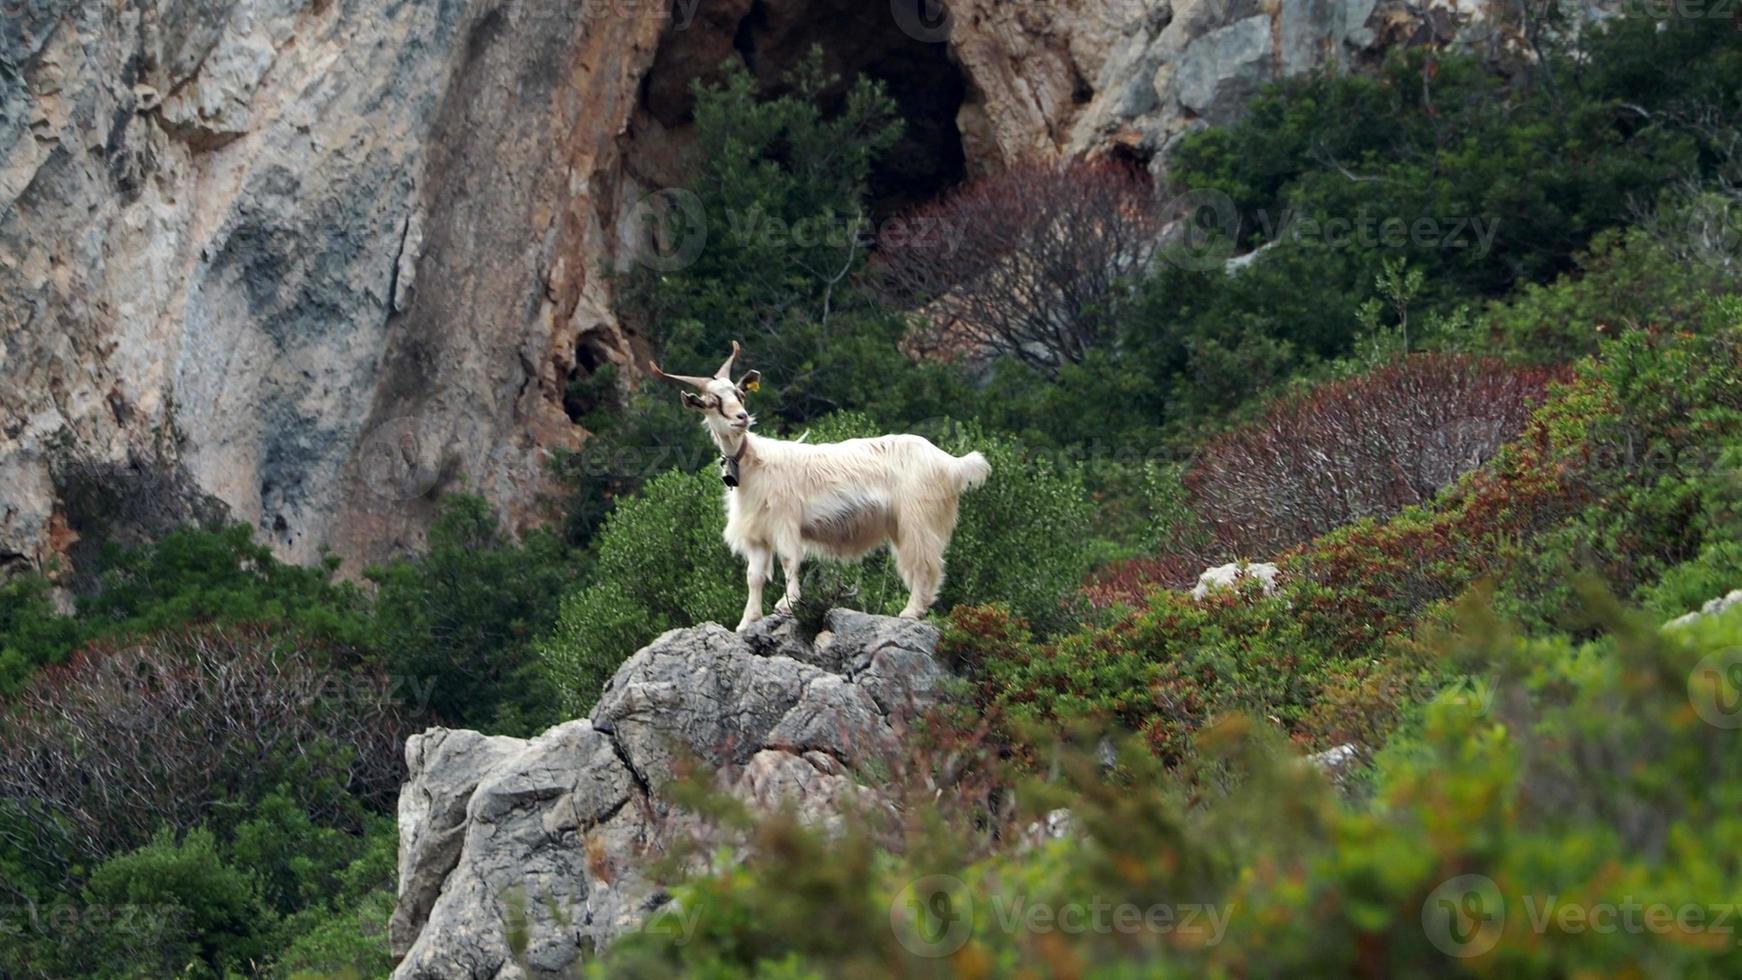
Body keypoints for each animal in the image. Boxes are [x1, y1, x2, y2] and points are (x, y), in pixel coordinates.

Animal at [651, 342, 989, 630]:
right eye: (712, 402)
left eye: (740, 394)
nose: (741, 417)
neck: (754, 463)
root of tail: (950, 462)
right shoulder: (758, 534)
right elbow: (754, 576)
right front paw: (748, 621)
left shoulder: (786, 521)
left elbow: (790, 561)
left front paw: (787, 604)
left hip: (917, 517)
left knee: (926, 563)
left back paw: (911, 611)